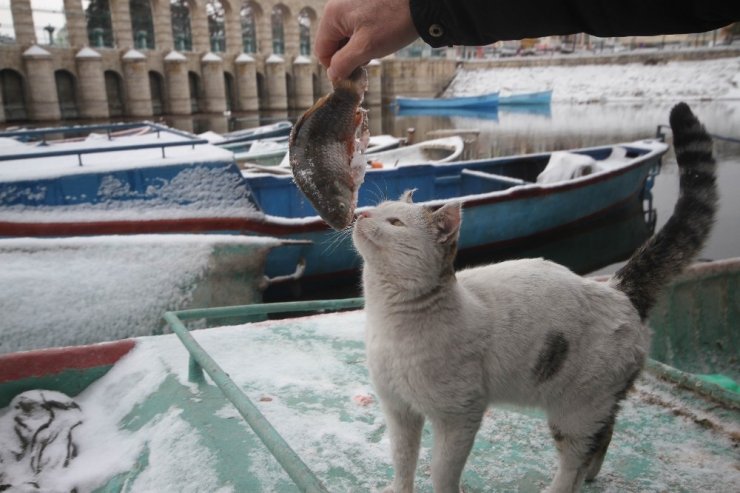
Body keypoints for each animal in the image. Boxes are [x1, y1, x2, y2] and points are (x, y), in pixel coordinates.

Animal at [352, 102, 716, 490]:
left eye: (395, 223)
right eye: (377, 209)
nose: (360, 214)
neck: (389, 320)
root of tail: (618, 289)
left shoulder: (459, 415)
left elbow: (441, 471)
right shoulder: (399, 410)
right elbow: (403, 462)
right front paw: (398, 486)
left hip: (576, 411)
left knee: (575, 459)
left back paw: (561, 486)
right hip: (593, 407)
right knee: (604, 436)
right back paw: (592, 475)